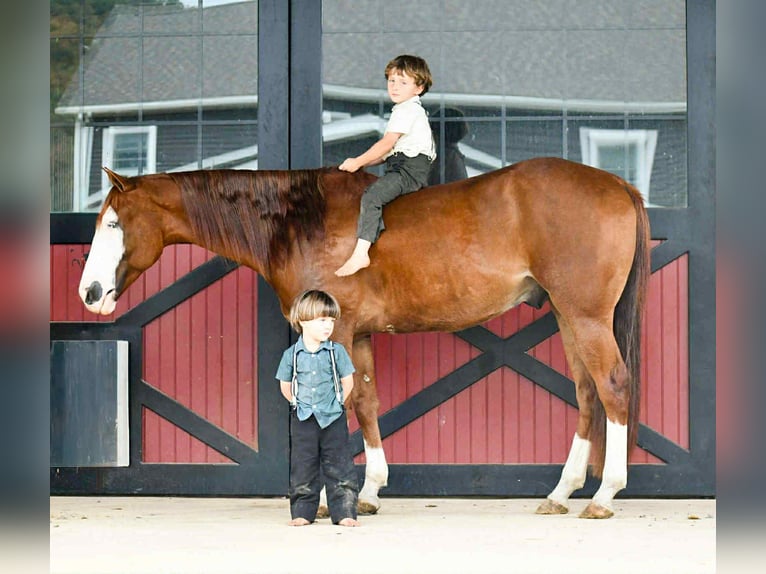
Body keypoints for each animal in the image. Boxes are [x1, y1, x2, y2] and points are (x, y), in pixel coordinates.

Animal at [78, 157, 650, 519]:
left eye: (113, 223)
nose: (89, 293)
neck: (296, 222)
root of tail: (618, 185)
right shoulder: (360, 336)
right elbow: (369, 403)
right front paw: (372, 489)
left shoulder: (340, 331)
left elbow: (344, 405)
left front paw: (336, 497)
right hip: (568, 315)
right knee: (586, 395)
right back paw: (562, 492)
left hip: (585, 315)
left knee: (613, 386)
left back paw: (604, 496)